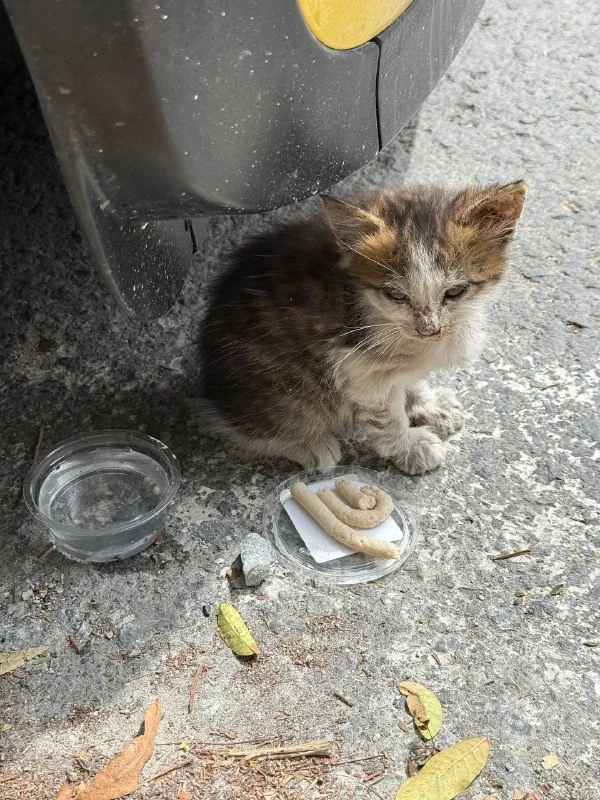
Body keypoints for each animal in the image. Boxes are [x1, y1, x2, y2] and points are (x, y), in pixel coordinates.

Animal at [199, 181, 526, 474]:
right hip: (283, 389)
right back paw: (309, 445)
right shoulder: (356, 366)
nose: (429, 329)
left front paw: (429, 405)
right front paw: (410, 446)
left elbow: (408, 379)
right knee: (243, 428)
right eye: (397, 295)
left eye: (455, 292)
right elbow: (387, 415)